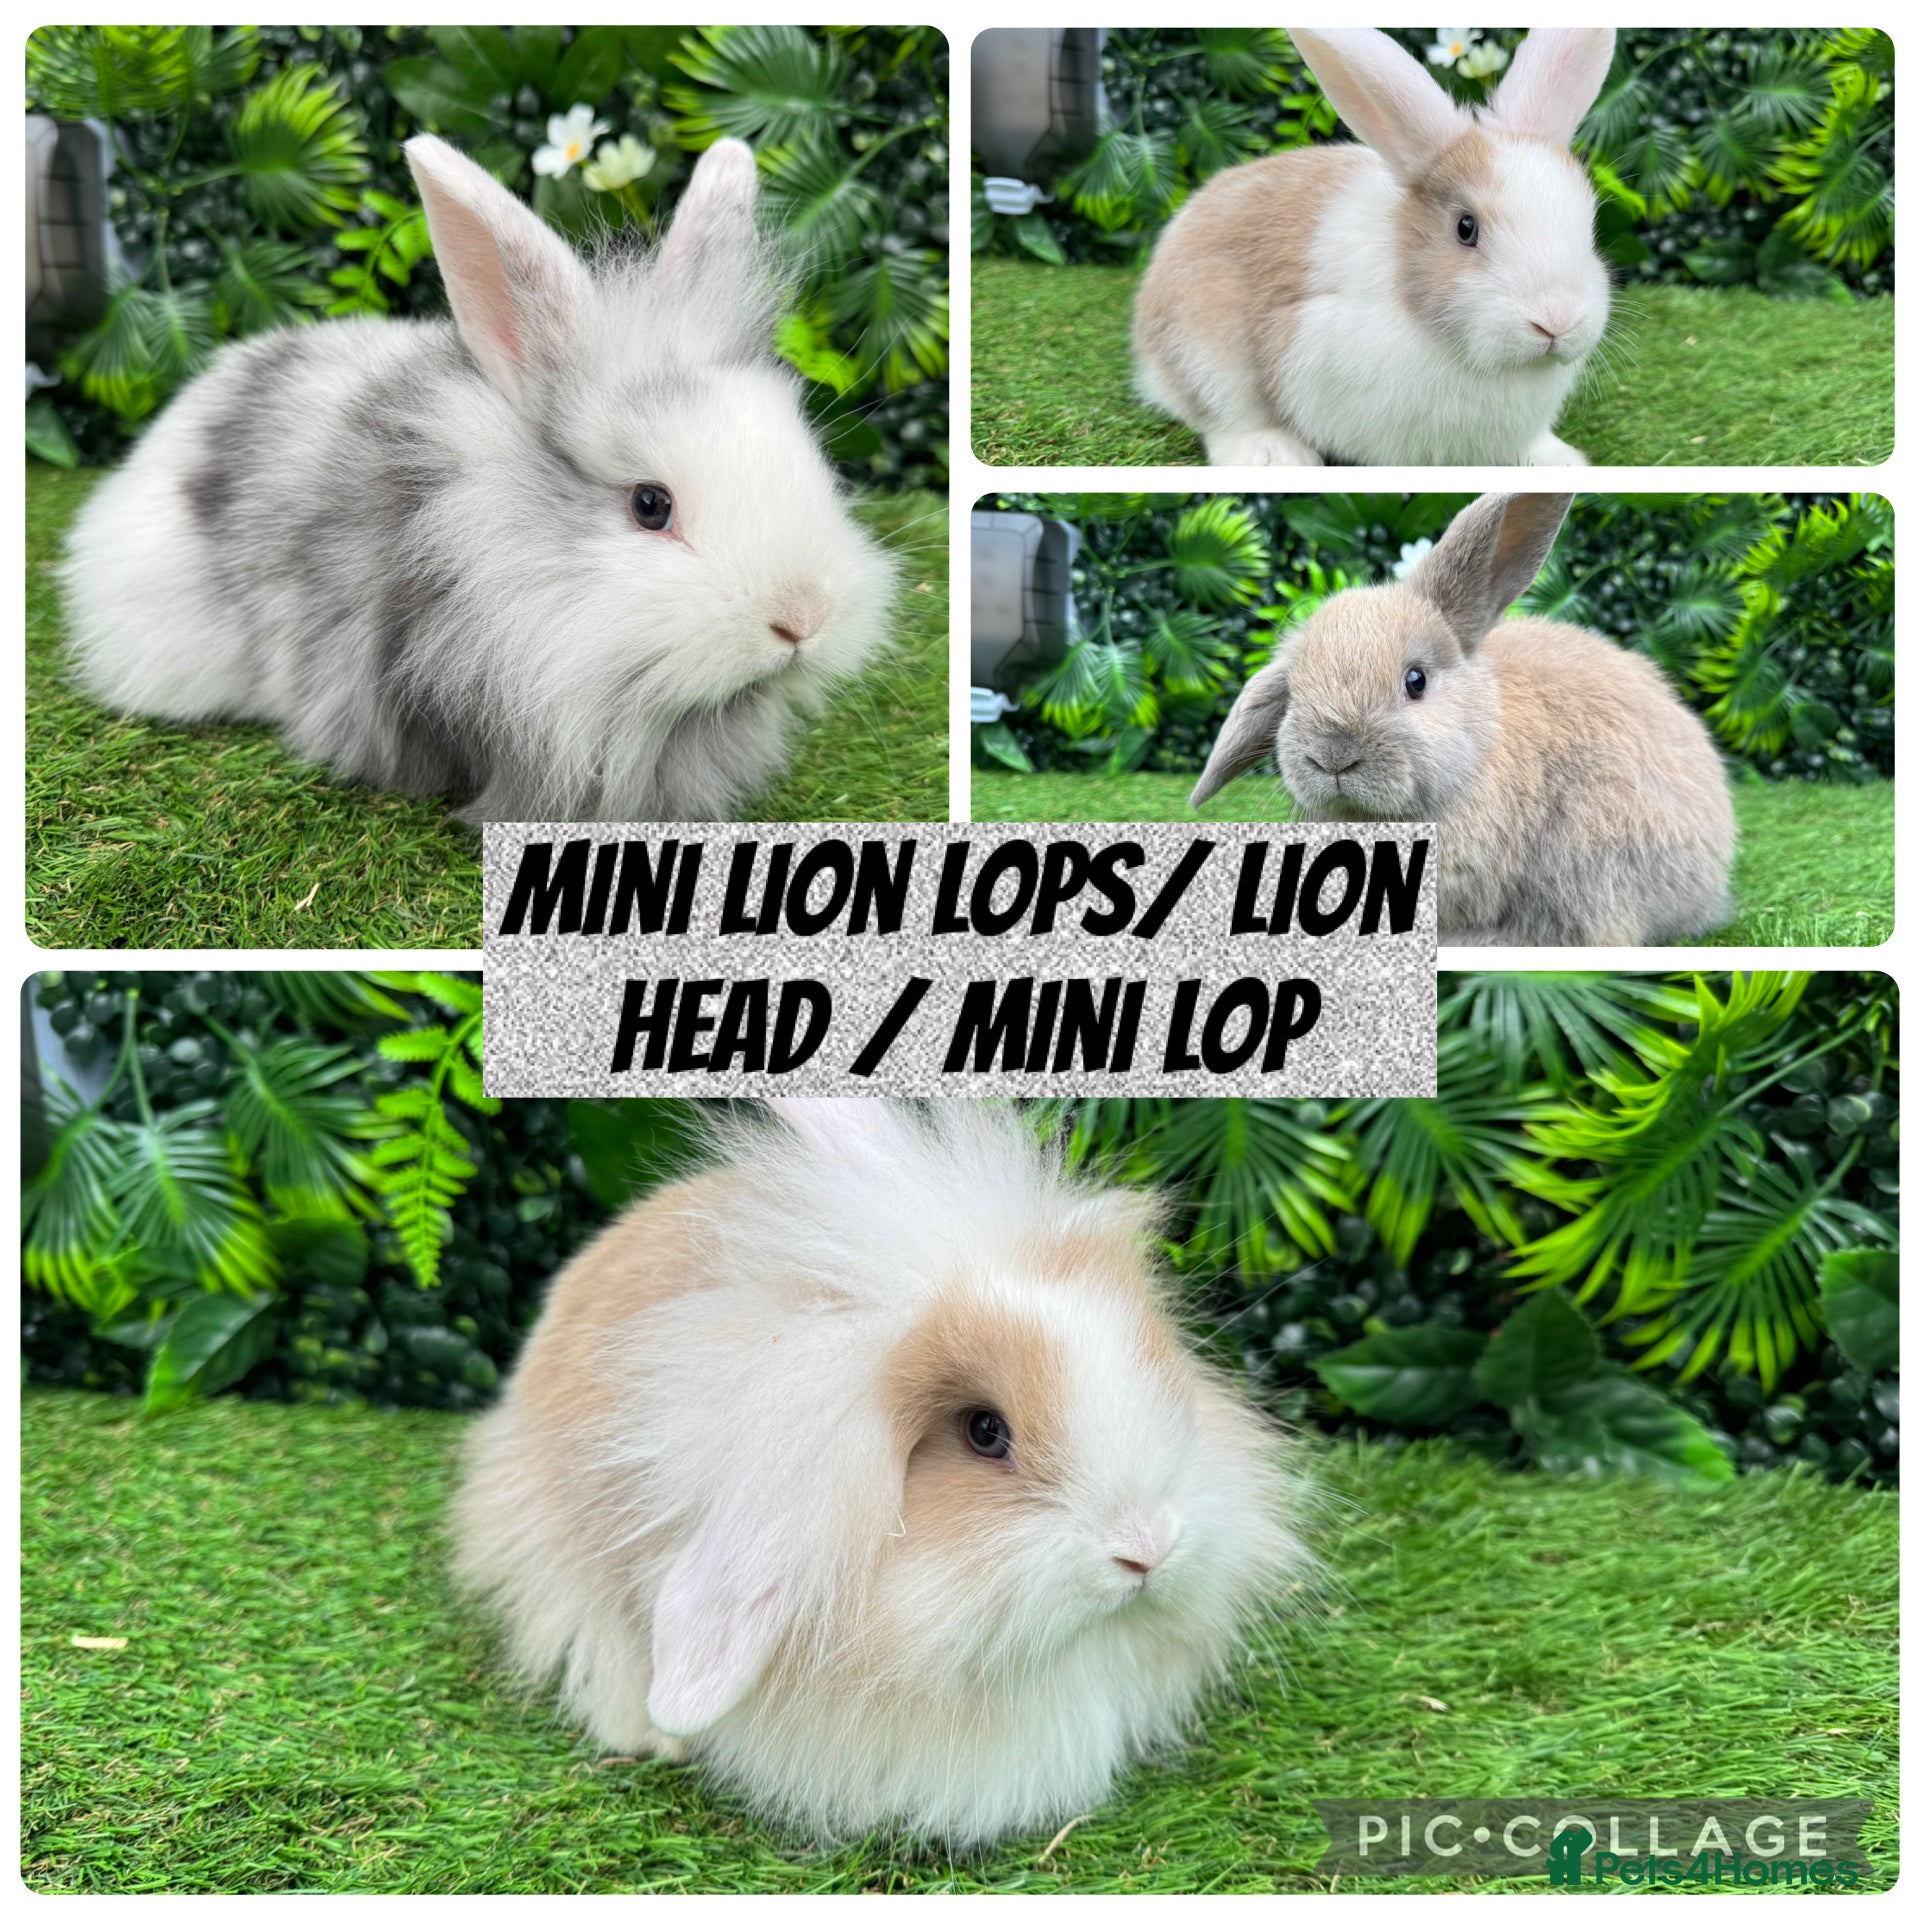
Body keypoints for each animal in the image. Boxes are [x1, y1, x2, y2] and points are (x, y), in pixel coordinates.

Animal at [1134, 28, 1617, 467]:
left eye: (1588, 223)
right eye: (1466, 228)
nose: (1557, 320)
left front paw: (1558, 461)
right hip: (1208, 353)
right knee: (1226, 417)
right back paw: (1274, 457)